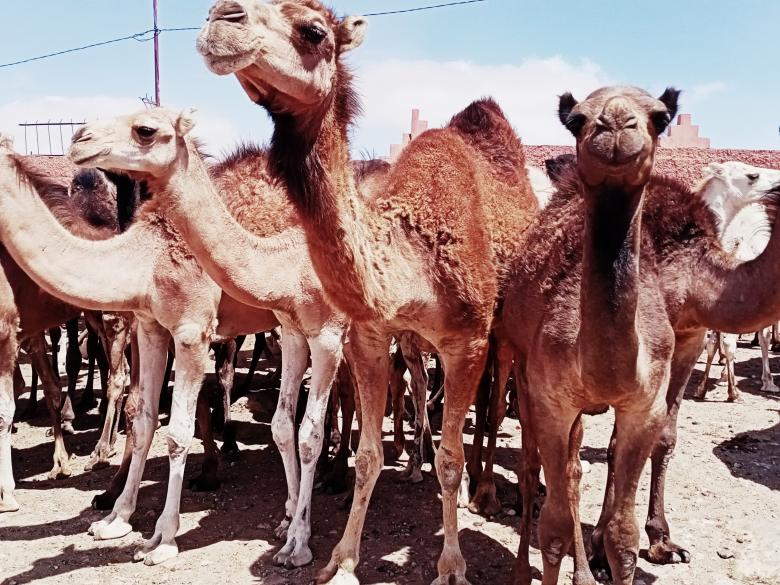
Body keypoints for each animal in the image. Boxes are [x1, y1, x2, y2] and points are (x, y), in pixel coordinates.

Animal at [191, 3, 537, 583]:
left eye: (314, 31)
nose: (220, 18)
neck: (413, 252)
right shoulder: (370, 338)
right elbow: (369, 455)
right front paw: (342, 558)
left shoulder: (465, 342)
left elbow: (450, 458)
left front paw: (451, 564)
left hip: (507, 336)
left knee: (492, 410)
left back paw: (487, 492)